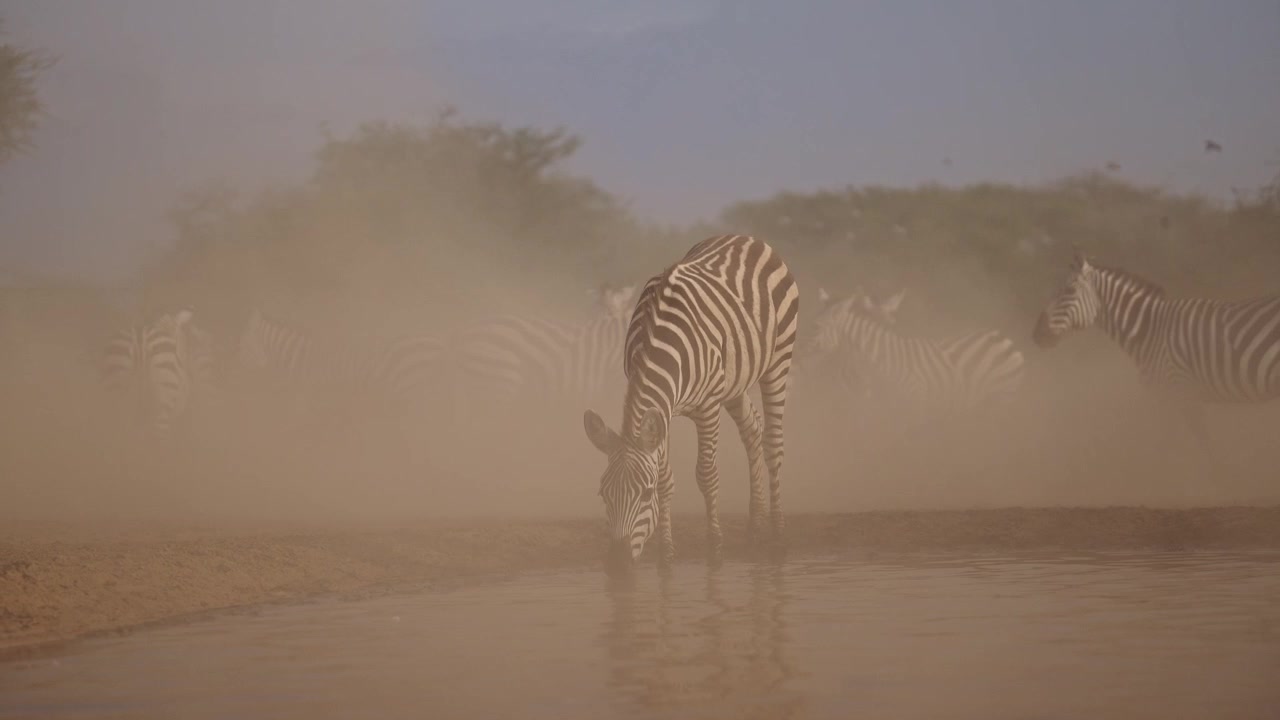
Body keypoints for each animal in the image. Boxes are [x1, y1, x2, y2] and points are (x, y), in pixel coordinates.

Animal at [583, 235, 800, 573]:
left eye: (644, 495)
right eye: (603, 493)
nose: (618, 565)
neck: (659, 341)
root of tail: (746, 238)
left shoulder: (708, 406)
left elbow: (706, 474)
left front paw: (715, 548)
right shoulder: (663, 410)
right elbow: (665, 477)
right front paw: (666, 553)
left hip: (778, 359)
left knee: (773, 445)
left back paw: (777, 534)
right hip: (734, 383)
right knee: (752, 433)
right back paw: (755, 527)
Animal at [1032, 249, 1280, 459]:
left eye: (1069, 291)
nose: (1036, 334)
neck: (1150, 331)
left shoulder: (1181, 394)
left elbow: (1189, 449)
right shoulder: (1168, 398)